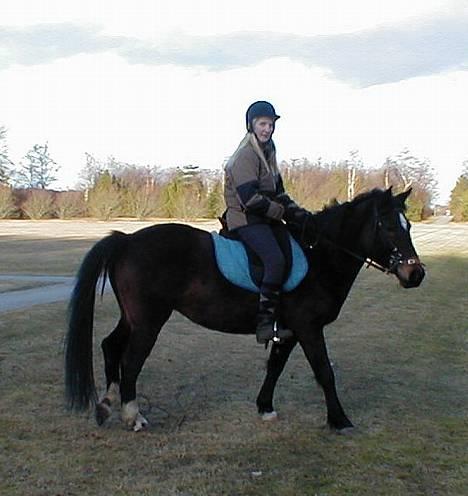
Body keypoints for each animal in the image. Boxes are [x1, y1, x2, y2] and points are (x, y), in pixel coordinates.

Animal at [64, 188, 426, 432]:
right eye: (388, 226)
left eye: (408, 226)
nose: (416, 274)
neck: (319, 255)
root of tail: (126, 240)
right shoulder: (309, 328)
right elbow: (325, 372)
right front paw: (339, 419)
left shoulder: (289, 330)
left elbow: (275, 367)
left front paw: (265, 406)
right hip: (149, 321)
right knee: (131, 360)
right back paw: (132, 415)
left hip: (133, 318)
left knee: (110, 346)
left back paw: (107, 404)